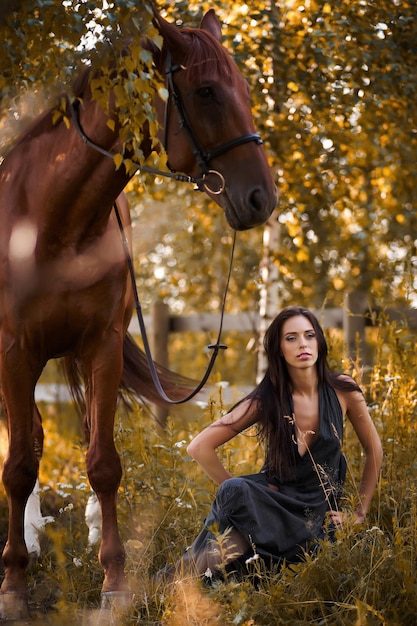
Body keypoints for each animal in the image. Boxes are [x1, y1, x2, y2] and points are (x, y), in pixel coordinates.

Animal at [0, 7, 276, 612]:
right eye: (206, 91)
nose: (261, 199)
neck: (49, 221)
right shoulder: (13, 352)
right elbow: (18, 466)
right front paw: (13, 585)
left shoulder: (99, 347)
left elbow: (102, 463)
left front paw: (115, 582)